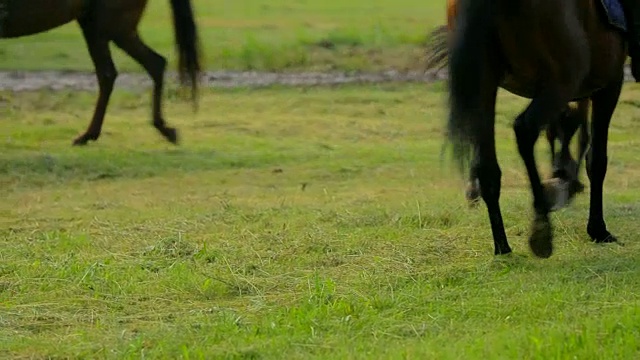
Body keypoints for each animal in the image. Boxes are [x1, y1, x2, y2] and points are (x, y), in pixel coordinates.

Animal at [448, 0, 624, 258]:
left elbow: (569, 131)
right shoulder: (609, 83)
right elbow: (595, 159)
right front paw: (597, 229)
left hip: (485, 82)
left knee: (488, 165)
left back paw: (502, 245)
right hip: (562, 80)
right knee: (525, 129)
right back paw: (542, 227)